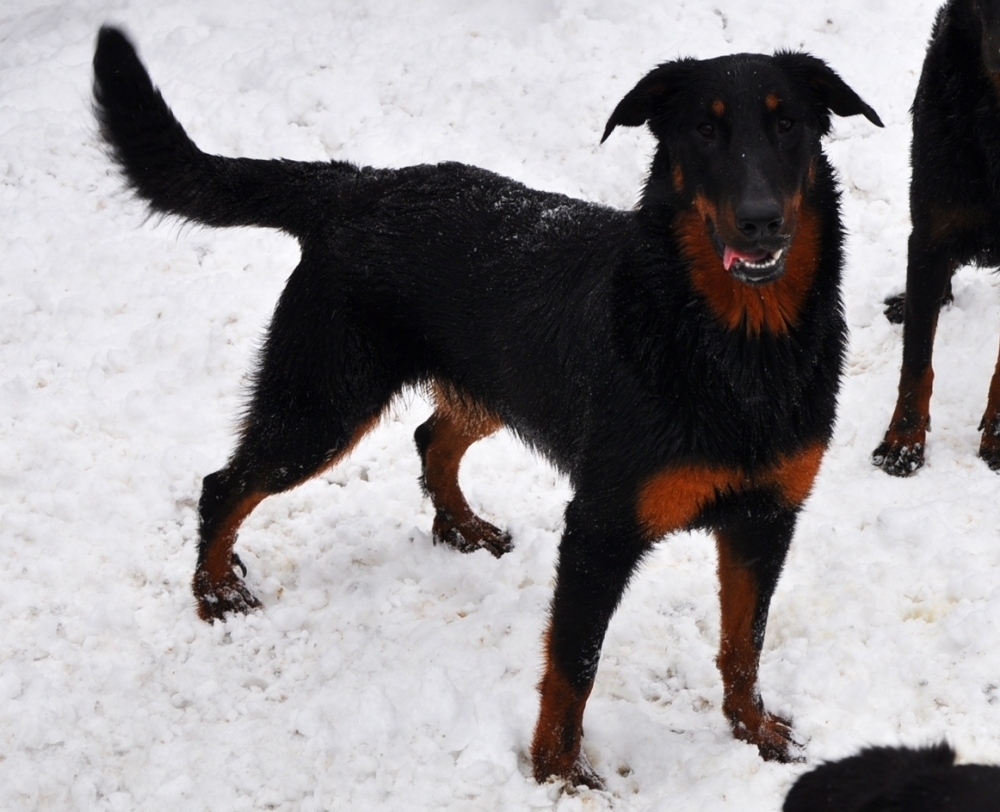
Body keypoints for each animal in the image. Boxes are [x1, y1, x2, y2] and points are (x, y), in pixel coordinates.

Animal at [92, 28, 876, 788]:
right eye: (705, 132)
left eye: (789, 125)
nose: (760, 222)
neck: (736, 343)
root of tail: (357, 185)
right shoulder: (601, 528)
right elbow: (574, 666)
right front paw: (558, 772)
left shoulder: (766, 518)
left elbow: (746, 643)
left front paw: (754, 731)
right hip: (323, 401)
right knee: (226, 483)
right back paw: (214, 591)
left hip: (488, 381)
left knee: (429, 436)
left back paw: (460, 526)